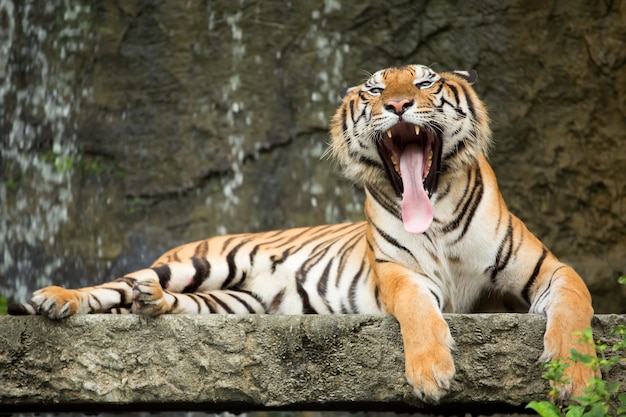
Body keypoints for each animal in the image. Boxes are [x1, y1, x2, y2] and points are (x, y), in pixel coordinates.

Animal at [9, 64, 596, 404]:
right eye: (376, 89)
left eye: (424, 82)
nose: (398, 106)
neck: (437, 216)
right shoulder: (399, 275)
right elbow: (420, 313)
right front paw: (431, 373)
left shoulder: (549, 269)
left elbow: (576, 305)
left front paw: (576, 379)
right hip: (197, 263)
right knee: (110, 286)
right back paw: (56, 299)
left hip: (233, 303)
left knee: (167, 303)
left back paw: (153, 303)